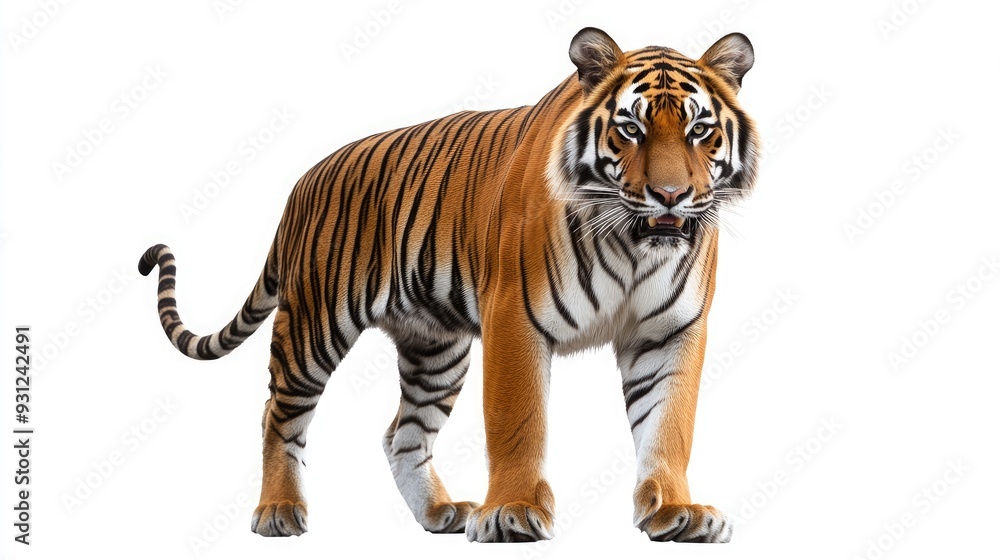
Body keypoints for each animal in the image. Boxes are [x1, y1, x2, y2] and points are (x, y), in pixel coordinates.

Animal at [138, 27, 759, 543]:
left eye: (699, 130)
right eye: (631, 128)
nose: (671, 196)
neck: (633, 246)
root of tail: (303, 182)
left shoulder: (670, 331)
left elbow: (669, 426)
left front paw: (676, 512)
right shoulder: (516, 318)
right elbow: (518, 421)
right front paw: (511, 512)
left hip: (435, 350)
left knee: (402, 434)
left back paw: (440, 513)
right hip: (315, 324)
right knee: (278, 414)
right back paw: (278, 511)